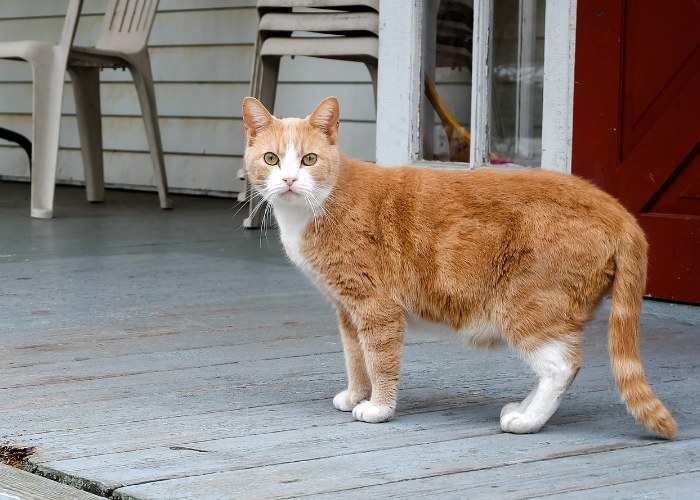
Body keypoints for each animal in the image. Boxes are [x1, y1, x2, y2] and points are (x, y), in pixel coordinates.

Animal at [242, 94, 680, 438]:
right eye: (272, 159)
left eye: (309, 159)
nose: (289, 180)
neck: (318, 206)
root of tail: (616, 209)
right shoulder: (347, 310)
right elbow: (355, 359)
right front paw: (355, 395)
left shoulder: (376, 308)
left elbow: (379, 361)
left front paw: (379, 408)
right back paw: (521, 408)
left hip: (525, 306)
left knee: (562, 364)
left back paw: (527, 421)